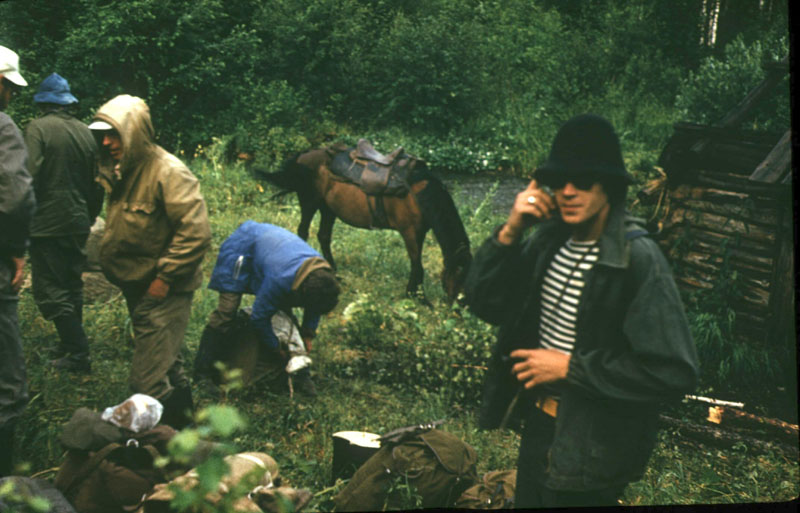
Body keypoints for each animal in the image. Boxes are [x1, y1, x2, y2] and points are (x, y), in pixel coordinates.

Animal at [253, 143, 472, 304]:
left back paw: (334, 272)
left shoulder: (420, 232)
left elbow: (416, 262)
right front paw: (417, 296)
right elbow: (417, 264)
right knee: (303, 232)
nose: (461, 306)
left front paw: (415, 293)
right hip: (310, 202)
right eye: (460, 277)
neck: (420, 193)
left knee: (323, 236)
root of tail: (304, 155)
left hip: (328, 209)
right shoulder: (409, 232)